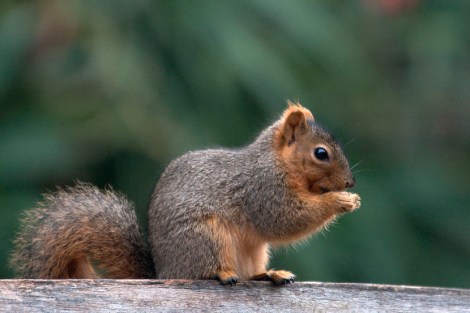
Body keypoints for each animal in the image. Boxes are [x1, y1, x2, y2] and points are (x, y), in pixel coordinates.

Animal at [8, 101, 360, 284]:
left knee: (251, 275)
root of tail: (164, 272)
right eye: (320, 153)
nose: (350, 183)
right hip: (207, 237)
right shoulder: (263, 190)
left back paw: (269, 274)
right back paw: (222, 274)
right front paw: (340, 201)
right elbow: (286, 219)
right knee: (202, 272)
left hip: (253, 250)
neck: (277, 162)